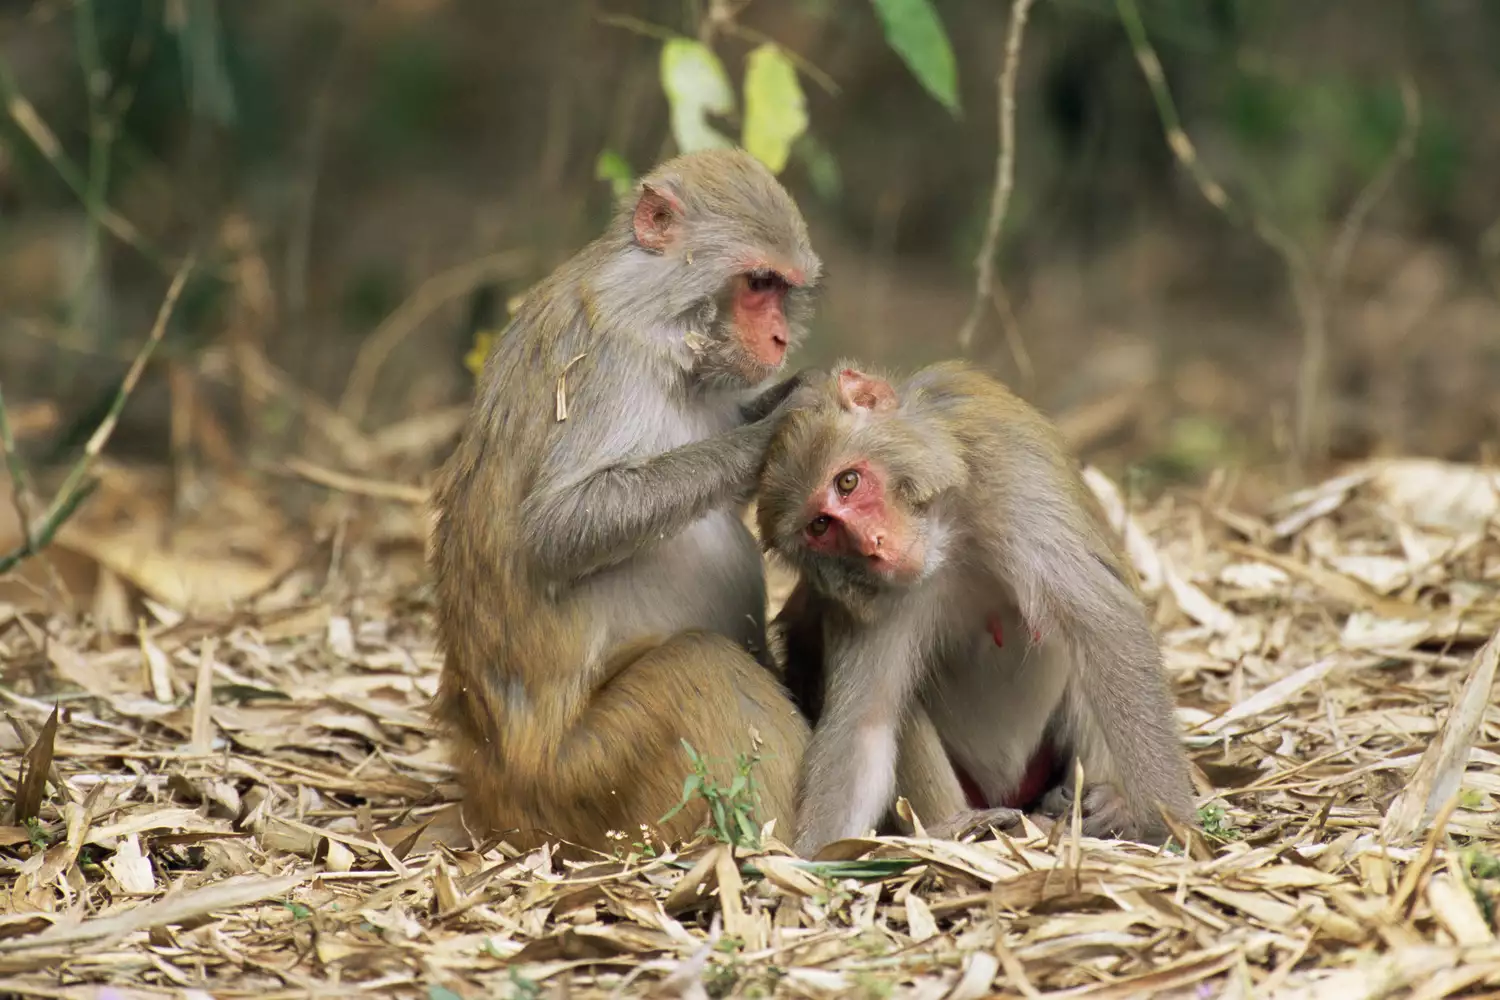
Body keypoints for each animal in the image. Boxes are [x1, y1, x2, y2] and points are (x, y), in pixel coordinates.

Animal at [429, 148, 828, 851]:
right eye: (758, 283)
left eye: (783, 289)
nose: (781, 340)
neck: (658, 304)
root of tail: (490, 783)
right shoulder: (609, 358)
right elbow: (558, 529)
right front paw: (782, 424)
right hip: (582, 777)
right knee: (701, 667)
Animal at [756, 364, 1200, 857]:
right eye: (820, 526)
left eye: (847, 482)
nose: (873, 545)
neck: (948, 533)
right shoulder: (871, 598)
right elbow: (866, 725)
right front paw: (810, 859)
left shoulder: (1010, 475)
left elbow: (1107, 631)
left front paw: (1170, 826)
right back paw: (964, 830)